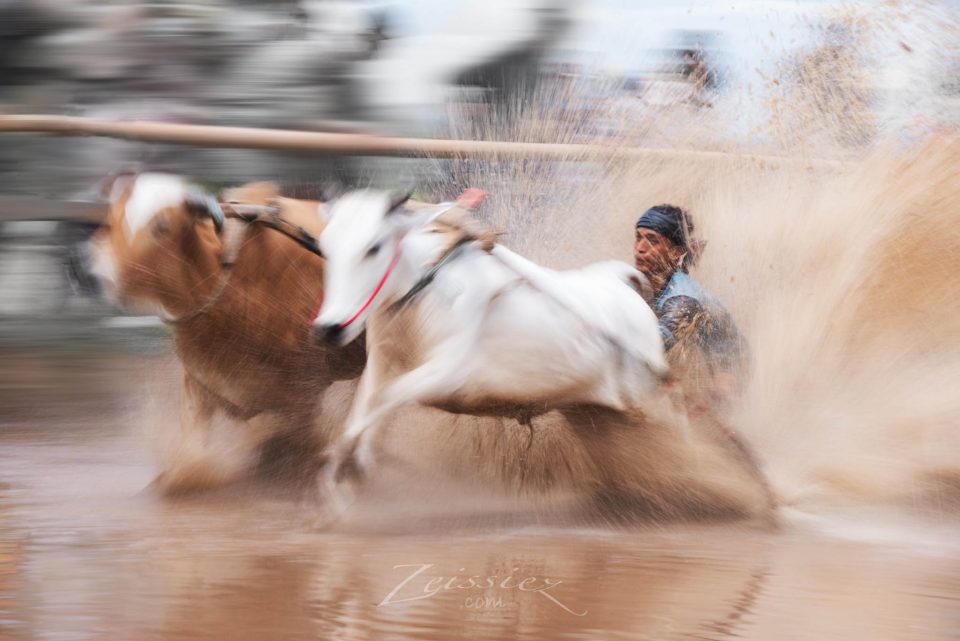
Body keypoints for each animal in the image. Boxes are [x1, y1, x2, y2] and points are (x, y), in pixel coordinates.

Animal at [86, 172, 366, 492]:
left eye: (162, 225)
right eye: (111, 221)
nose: (97, 275)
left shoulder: (305, 393)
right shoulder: (199, 384)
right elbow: (193, 449)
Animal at [316, 188, 668, 492]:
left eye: (373, 247)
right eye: (325, 246)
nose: (328, 328)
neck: (424, 287)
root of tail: (625, 285)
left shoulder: (445, 375)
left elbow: (380, 401)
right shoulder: (381, 360)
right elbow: (363, 409)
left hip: (647, 403)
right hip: (590, 409)